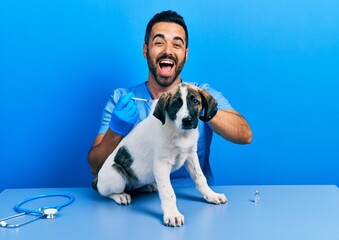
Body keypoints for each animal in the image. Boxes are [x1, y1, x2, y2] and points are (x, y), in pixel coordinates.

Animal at [92, 83, 228, 227]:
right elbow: (168, 192)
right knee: (104, 191)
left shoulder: (191, 156)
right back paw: (120, 196)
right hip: (116, 177)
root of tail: (97, 178)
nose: (187, 121)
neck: (180, 133)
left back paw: (148, 186)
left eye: (195, 101)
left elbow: (200, 178)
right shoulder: (161, 164)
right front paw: (172, 214)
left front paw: (212, 195)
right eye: (176, 103)